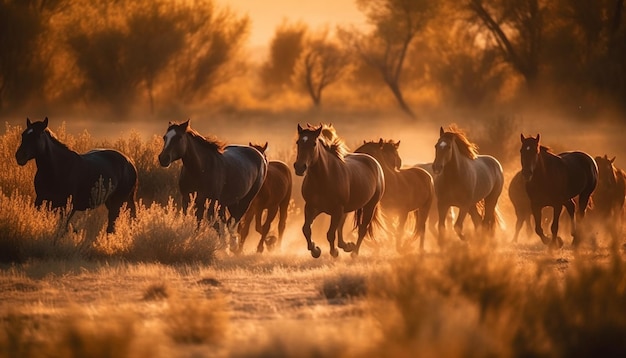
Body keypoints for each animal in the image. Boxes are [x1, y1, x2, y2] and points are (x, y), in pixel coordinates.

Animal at [294, 123, 386, 258]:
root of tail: (374, 162)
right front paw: (315, 250)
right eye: (298, 142)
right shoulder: (312, 207)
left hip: (370, 206)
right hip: (346, 209)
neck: (323, 178)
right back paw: (346, 246)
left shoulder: (336, 210)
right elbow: (306, 229)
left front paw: (334, 252)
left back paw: (354, 253)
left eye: (314, 143)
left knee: (362, 229)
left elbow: (330, 233)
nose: (300, 167)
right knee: (341, 226)